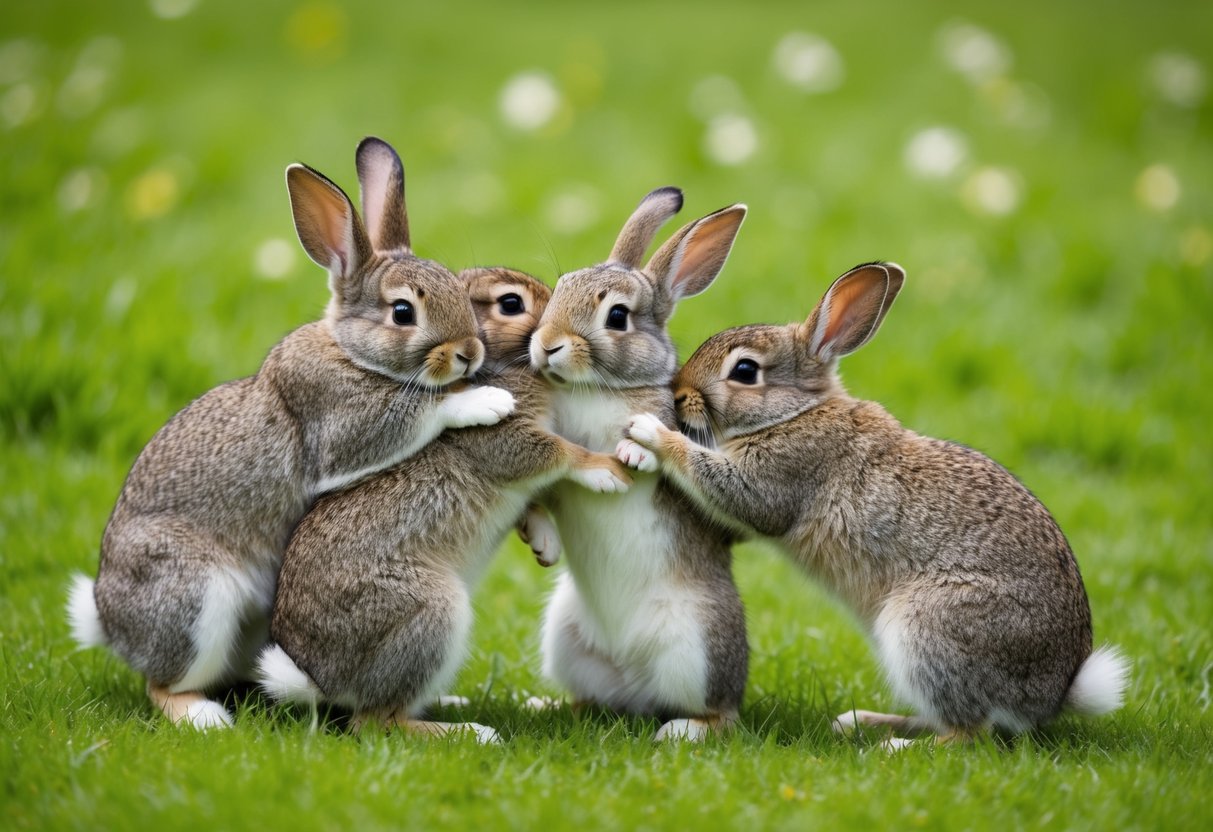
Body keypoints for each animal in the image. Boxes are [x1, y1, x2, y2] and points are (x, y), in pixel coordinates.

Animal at [66, 137, 516, 729]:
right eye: (402, 312)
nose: (469, 352)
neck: (351, 351)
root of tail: (107, 621)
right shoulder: (339, 421)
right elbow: (418, 410)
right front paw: (486, 401)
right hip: (194, 596)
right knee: (161, 682)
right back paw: (204, 716)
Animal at [256, 267, 632, 742]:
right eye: (511, 304)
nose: (554, 330)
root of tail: (319, 680)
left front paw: (545, 542)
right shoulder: (504, 439)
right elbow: (555, 453)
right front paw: (605, 471)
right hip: (431, 613)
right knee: (375, 722)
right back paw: (471, 732)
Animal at [525, 187, 750, 741]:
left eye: (618, 318)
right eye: (558, 290)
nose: (547, 345)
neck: (594, 389)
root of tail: (631, 676)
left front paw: (631, 453)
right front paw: (543, 544)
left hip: (697, 646)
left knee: (722, 714)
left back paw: (681, 731)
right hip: (564, 636)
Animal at [619, 261, 1131, 745]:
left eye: (745, 372)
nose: (679, 396)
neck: (793, 413)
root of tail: (1052, 693)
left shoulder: (777, 479)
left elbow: (720, 478)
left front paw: (650, 433)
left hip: (926, 628)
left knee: (970, 732)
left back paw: (894, 746)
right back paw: (859, 722)